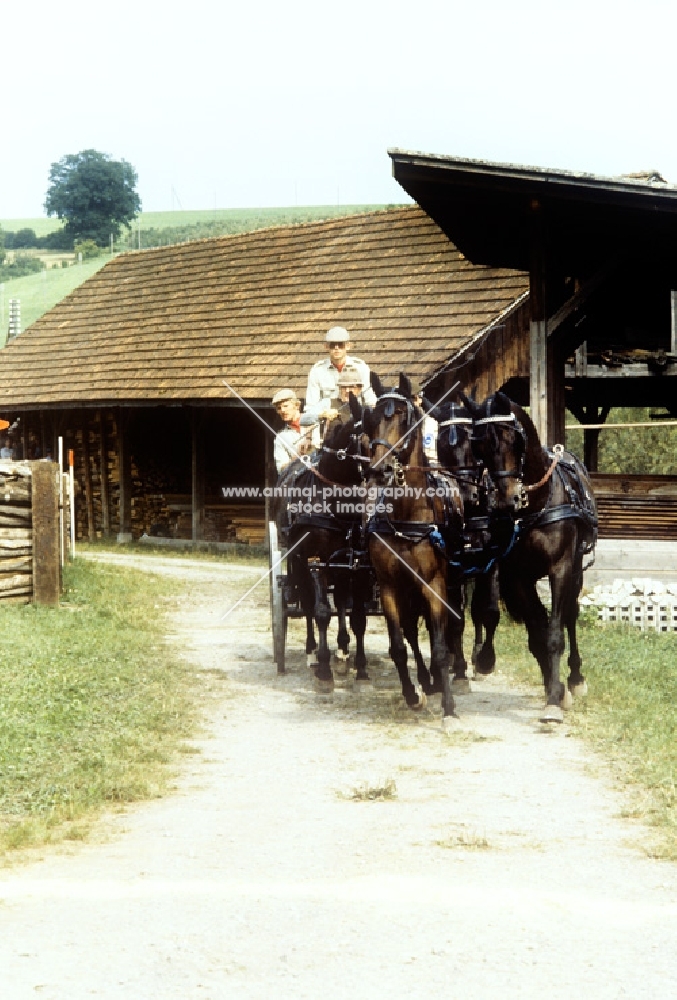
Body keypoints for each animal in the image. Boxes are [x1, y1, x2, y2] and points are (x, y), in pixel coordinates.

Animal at [280, 412, 372, 688]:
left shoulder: (357, 565)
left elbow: (357, 617)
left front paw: (360, 667)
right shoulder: (315, 561)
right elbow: (321, 612)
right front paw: (323, 671)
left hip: (340, 568)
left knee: (340, 601)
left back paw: (342, 652)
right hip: (299, 562)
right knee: (308, 605)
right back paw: (312, 653)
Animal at [360, 374, 464, 720]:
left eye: (404, 418)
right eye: (372, 419)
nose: (378, 470)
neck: (407, 516)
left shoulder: (434, 584)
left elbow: (440, 645)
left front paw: (449, 708)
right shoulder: (390, 586)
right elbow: (398, 645)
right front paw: (411, 693)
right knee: (410, 631)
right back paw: (425, 681)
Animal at [464, 386, 596, 724]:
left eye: (514, 439)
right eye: (479, 444)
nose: (506, 499)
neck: (536, 506)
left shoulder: (561, 569)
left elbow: (554, 633)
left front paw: (556, 698)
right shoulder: (517, 576)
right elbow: (537, 632)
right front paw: (553, 689)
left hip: (577, 570)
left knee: (571, 616)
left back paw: (576, 678)